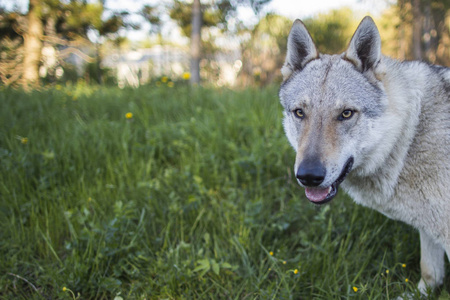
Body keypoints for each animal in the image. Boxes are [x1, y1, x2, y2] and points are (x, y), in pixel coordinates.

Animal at [280, 16, 448, 296]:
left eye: (346, 113)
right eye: (300, 113)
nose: (309, 176)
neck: (409, 137)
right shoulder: (428, 225)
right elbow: (430, 273)